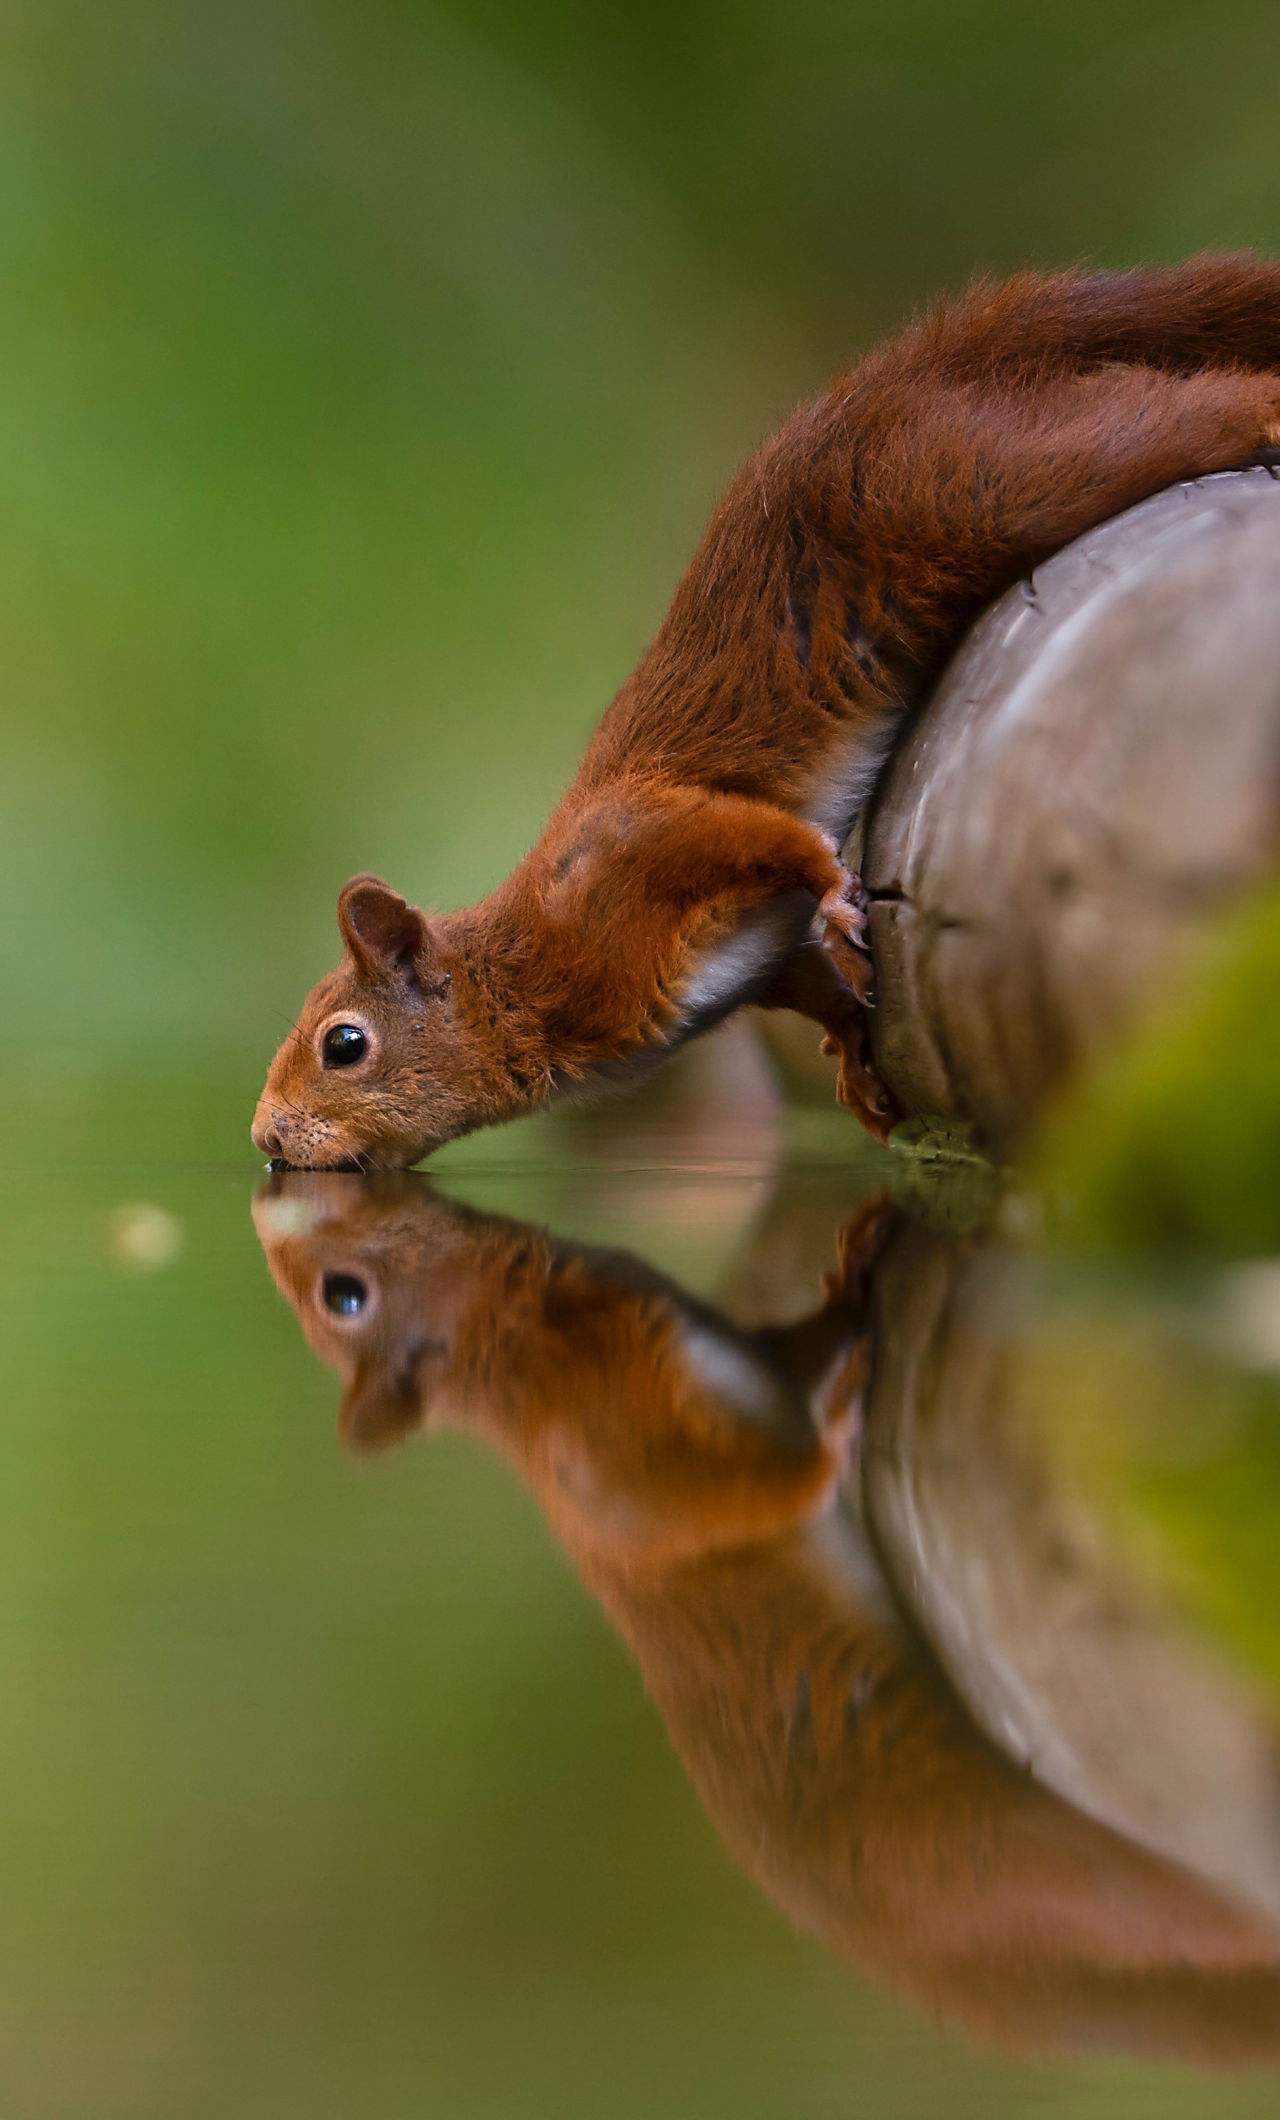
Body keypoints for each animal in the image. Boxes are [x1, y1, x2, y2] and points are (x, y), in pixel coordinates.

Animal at [253, 256, 1280, 1170]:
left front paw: (832, 895)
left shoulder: (638, 854)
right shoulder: (748, 963)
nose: (264, 1138)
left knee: (1170, 417)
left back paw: (1263, 409)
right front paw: (854, 1060)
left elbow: (762, 833)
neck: (522, 971)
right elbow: (806, 982)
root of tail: (891, 385)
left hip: (988, 479)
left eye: (344, 1044)